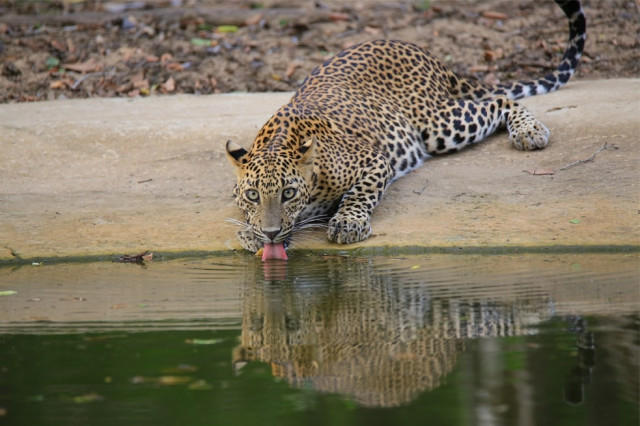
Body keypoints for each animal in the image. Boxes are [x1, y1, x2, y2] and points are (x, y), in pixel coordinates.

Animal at [225, 0, 586, 256]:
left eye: (288, 193)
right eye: (253, 194)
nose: (271, 233)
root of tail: (419, 48)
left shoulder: (372, 160)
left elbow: (359, 194)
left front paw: (348, 222)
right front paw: (249, 231)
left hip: (440, 124)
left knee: (498, 100)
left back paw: (530, 131)